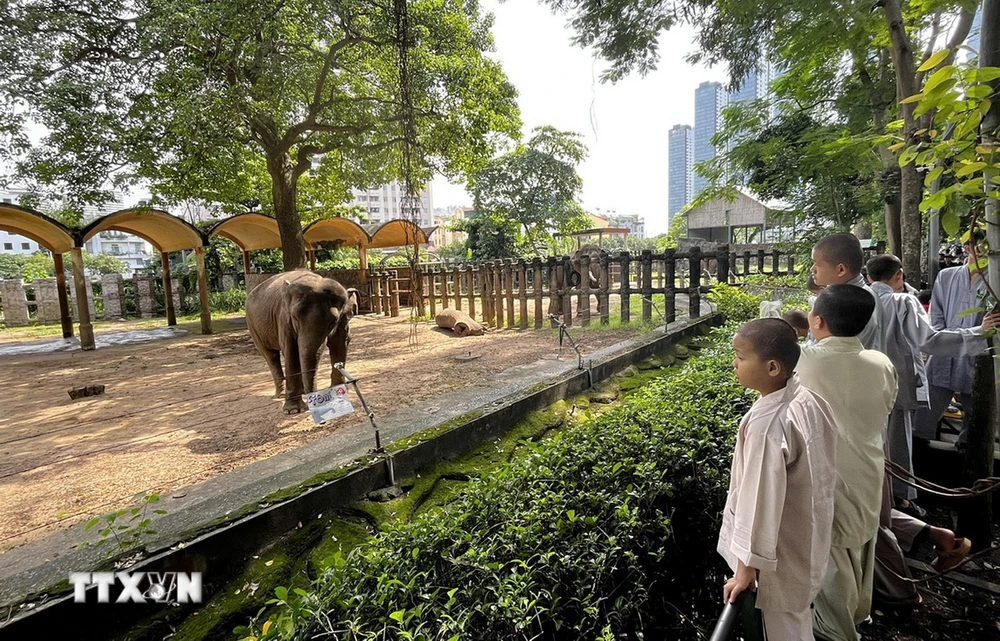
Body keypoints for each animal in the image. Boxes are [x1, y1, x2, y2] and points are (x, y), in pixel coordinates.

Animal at [246, 268, 360, 412]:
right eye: (295, 317)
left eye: (333, 322)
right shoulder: (284, 319)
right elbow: (291, 351)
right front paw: (293, 410)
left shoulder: (343, 320)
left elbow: (339, 343)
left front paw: (338, 391)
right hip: (253, 326)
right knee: (271, 356)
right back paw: (281, 395)